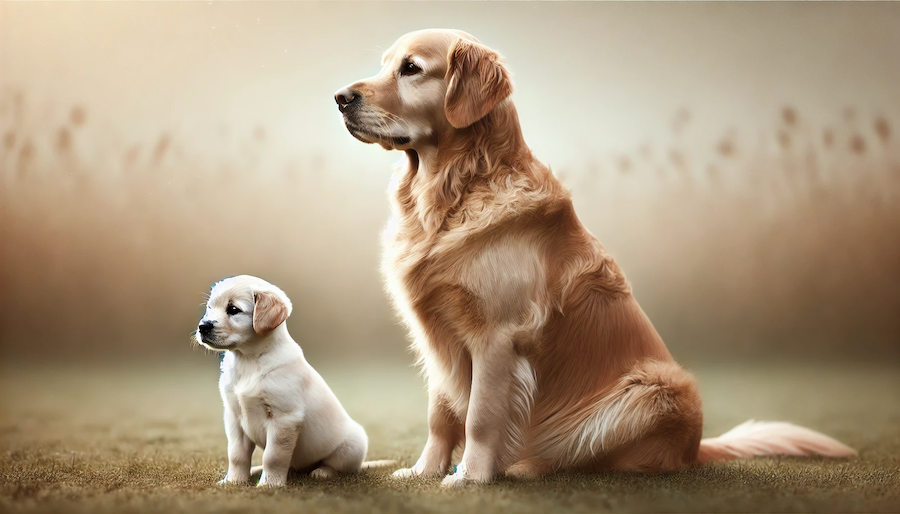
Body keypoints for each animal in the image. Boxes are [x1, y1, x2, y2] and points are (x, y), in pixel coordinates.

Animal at [196, 274, 370, 486]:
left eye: (233, 309)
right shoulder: (234, 416)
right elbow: (236, 455)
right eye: (210, 307)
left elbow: (273, 456)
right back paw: (256, 470)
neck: (248, 361)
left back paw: (322, 472)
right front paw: (234, 481)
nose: (202, 327)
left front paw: (269, 485)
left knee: (338, 466)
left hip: (354, 444)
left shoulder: (284, 418)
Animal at [334, 30, 856, 486]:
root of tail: (696, 448)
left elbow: (479, 416)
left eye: (411, 68)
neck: (453, 190)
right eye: (385, 64)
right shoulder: (439, 335)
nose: (340, 97)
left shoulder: (497, 337)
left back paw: (527, 465)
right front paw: (425, 472)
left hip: (657, 386)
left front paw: (471, 479)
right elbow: (440, 415)